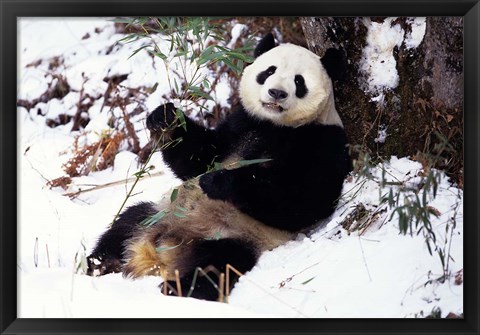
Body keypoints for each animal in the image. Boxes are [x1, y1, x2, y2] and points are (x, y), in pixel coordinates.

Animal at [86, 33, 350, 302]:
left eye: (299, 81)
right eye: (269, 71)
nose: (276, 92)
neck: (276, 125)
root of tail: (163, 250)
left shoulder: (324, 141)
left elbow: (303, 201)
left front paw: (218, 182)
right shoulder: (241, 123)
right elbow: (199, 158)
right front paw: (166, 118)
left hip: (235, 236)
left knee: (217, 265)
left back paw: (177, 287)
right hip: (161, 213)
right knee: (126, 223)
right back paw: (100, 262)